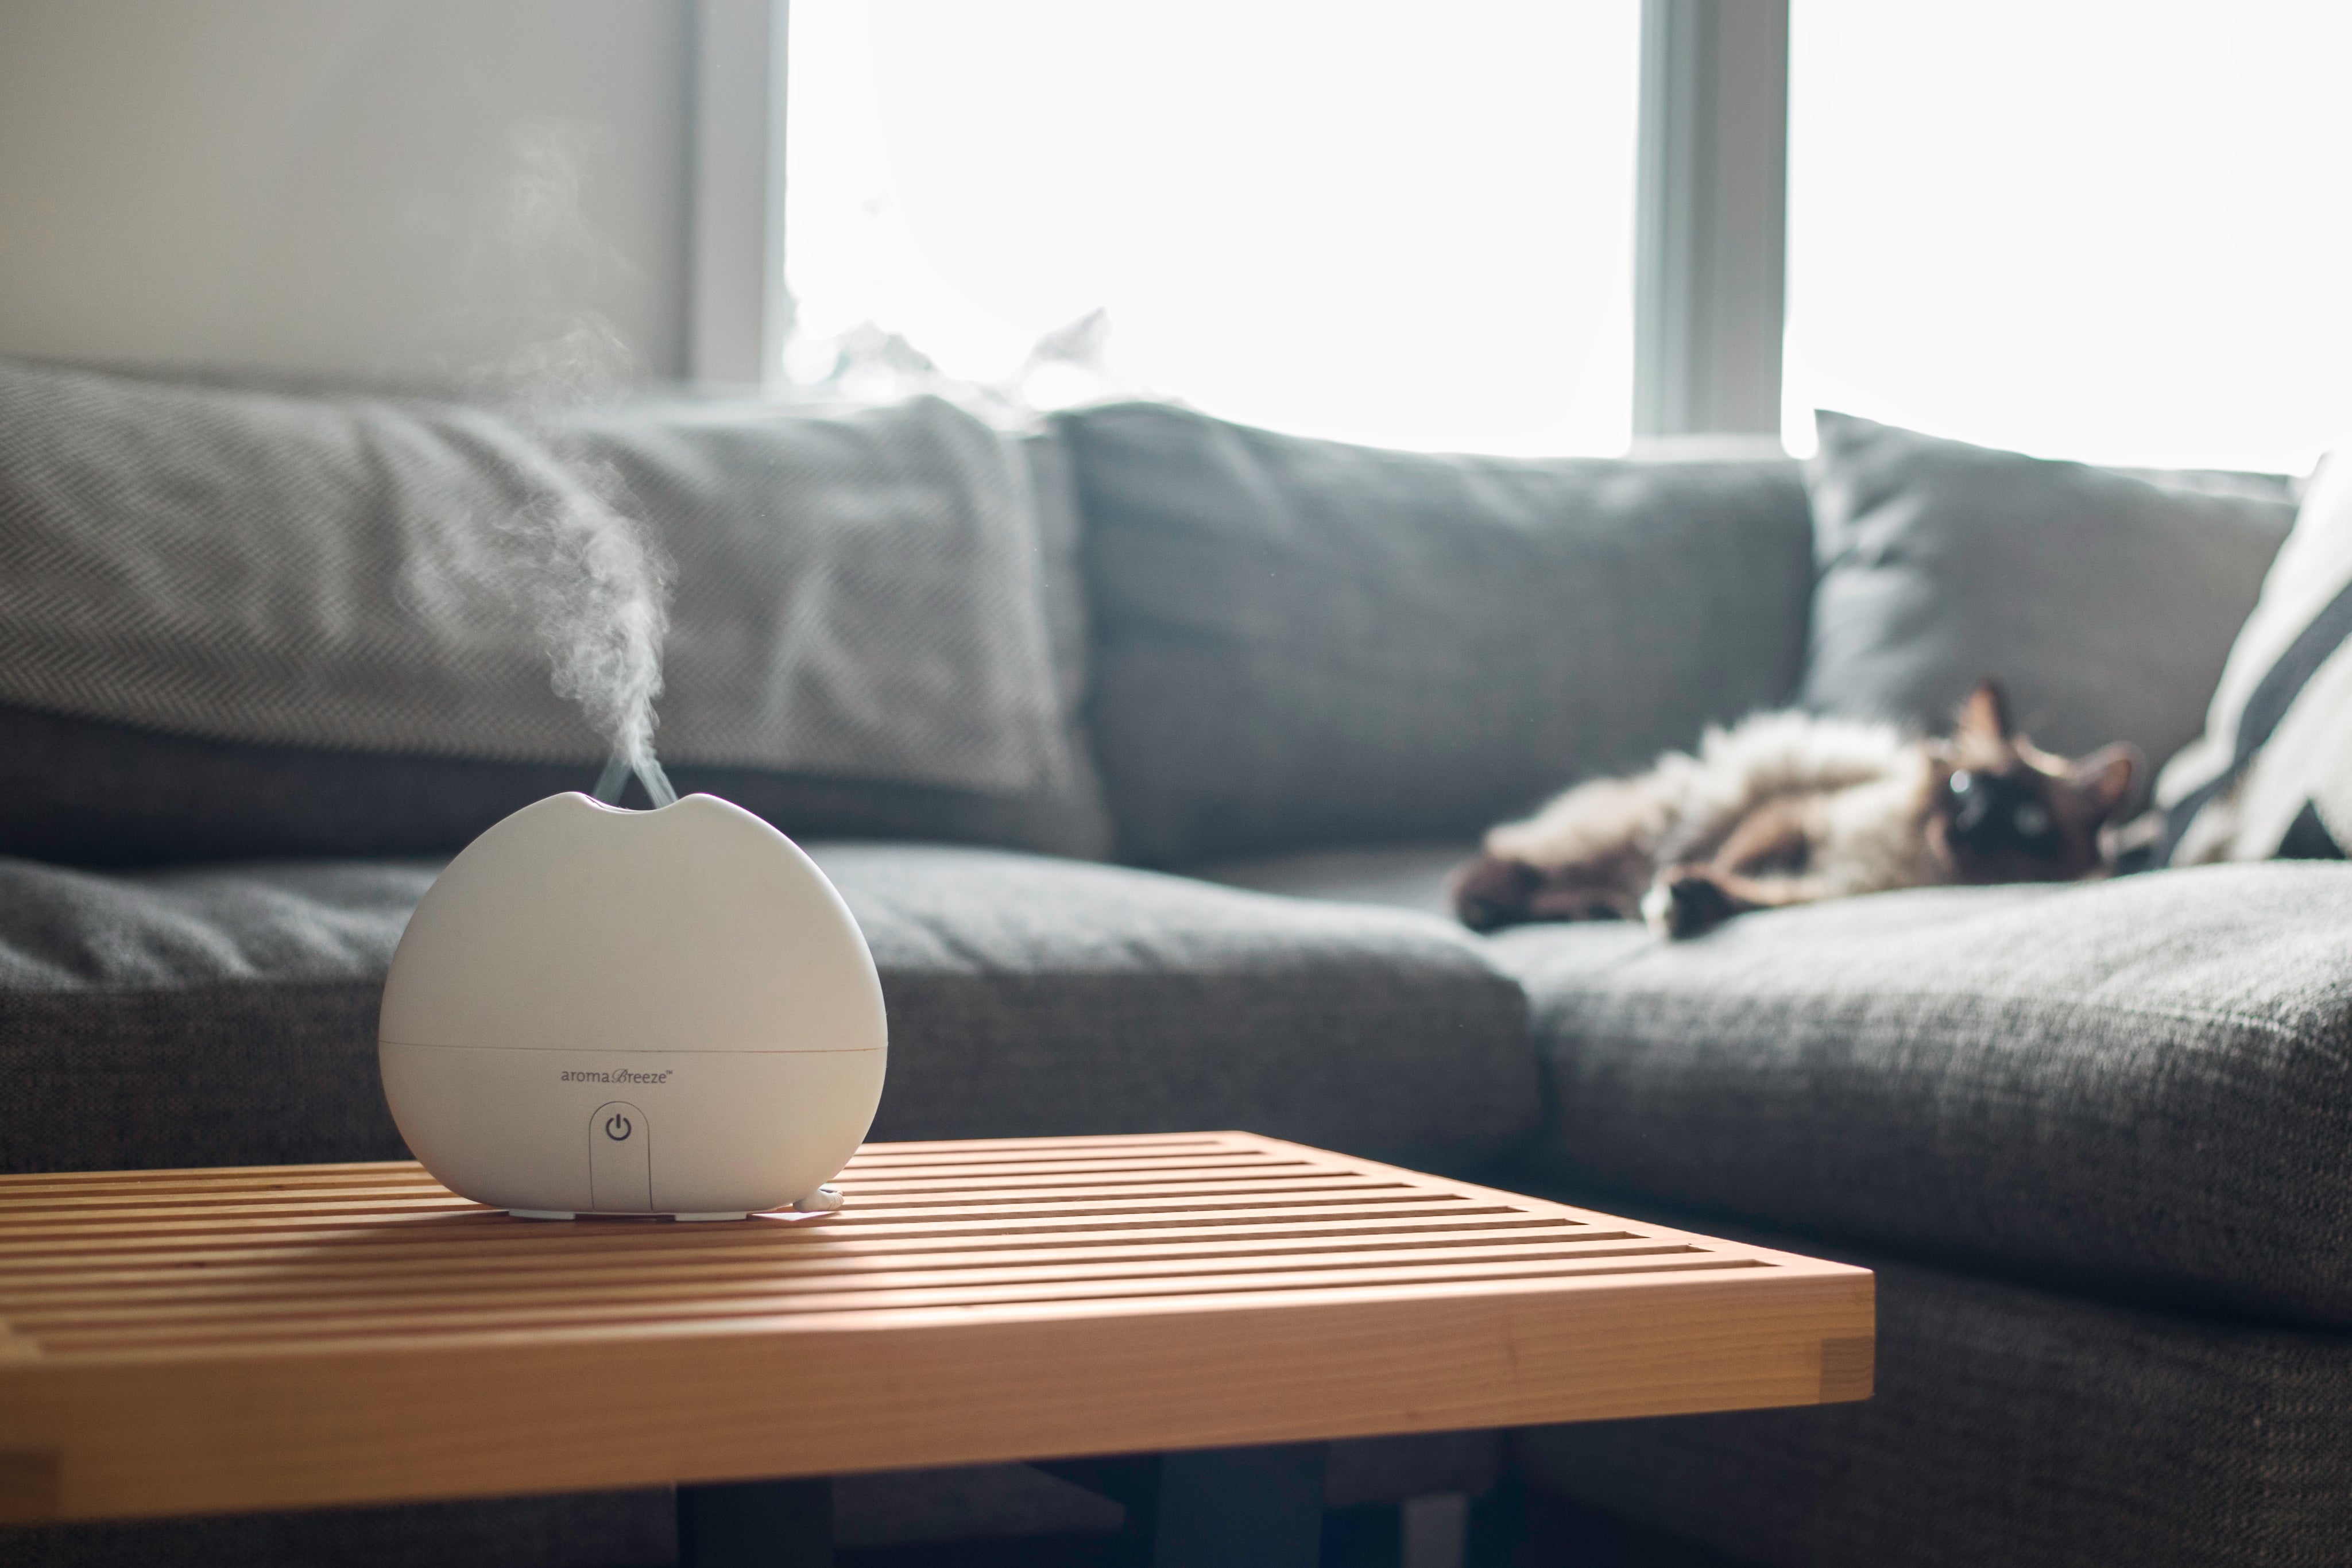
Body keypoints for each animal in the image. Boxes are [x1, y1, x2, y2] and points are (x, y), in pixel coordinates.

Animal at [1439, 682, 2145, 931]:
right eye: (1967, 787)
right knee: (1493, 872)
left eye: (2028, 822)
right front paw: (1672, 896)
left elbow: (1746, 890)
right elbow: (1737, 860)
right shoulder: (1793, 819)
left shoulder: (1820, 892)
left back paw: (1599, 908)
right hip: (1631, 829)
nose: (1968, 827)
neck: (1909, 866)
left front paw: (1687, 901)